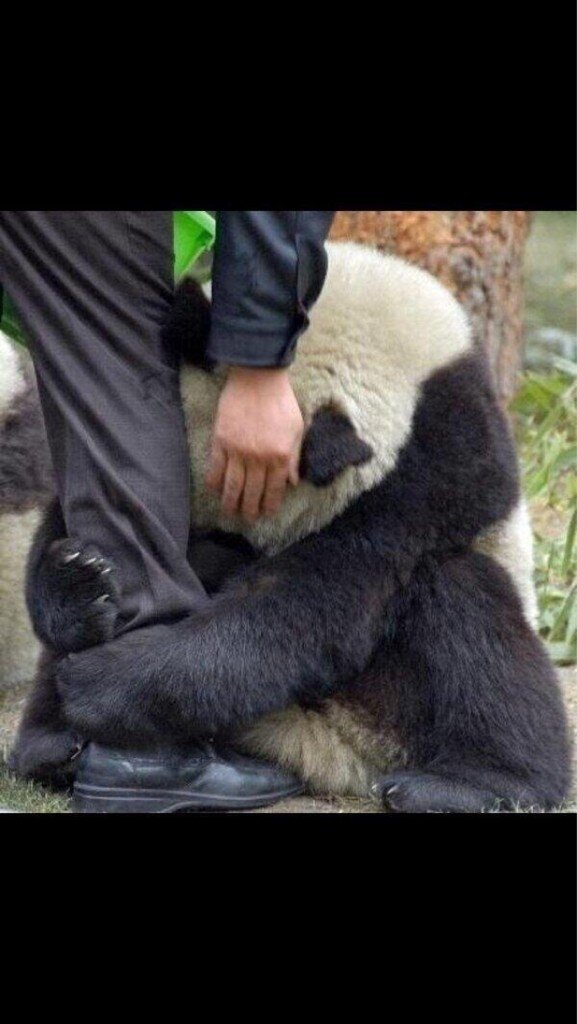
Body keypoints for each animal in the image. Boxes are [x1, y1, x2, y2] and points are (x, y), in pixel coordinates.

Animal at [7, 242, 572, 812]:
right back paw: (54, 745)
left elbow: (315, 599)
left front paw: (105, 679)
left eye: (238, 518)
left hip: (395, 702)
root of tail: (320, 746)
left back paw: (474, 783)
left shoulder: (434, 468)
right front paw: (76, 582)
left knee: (475, 618)